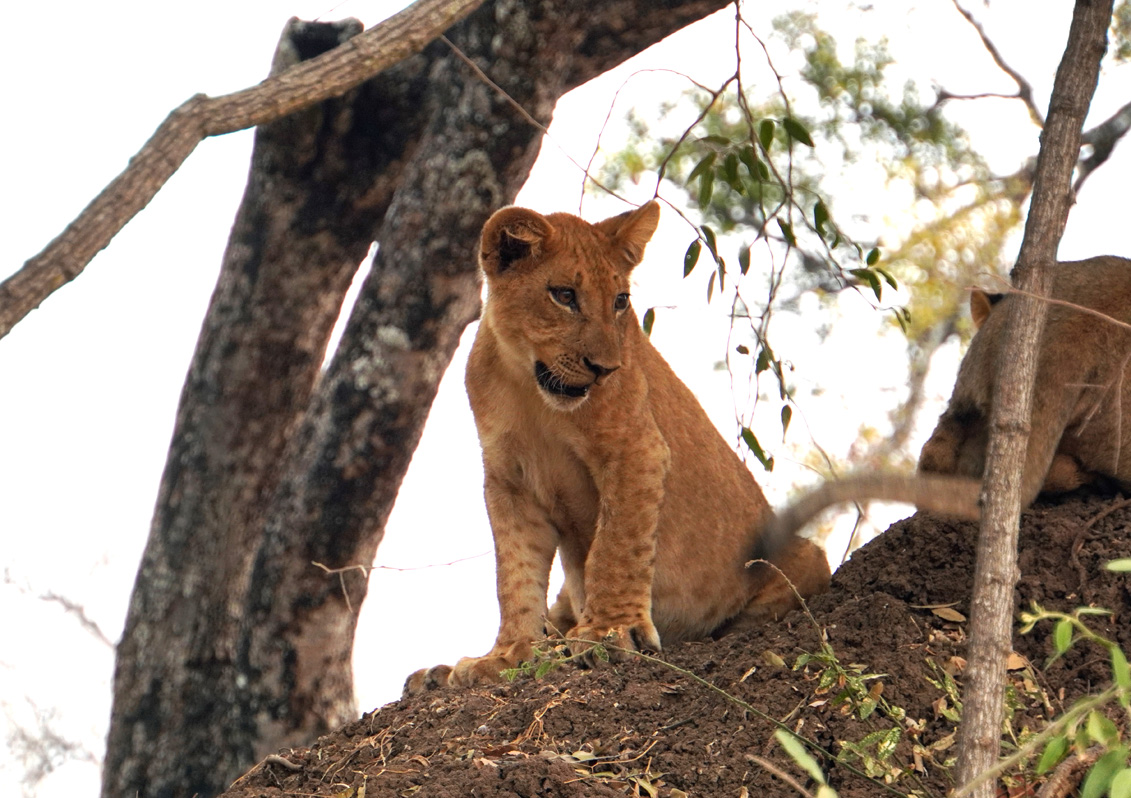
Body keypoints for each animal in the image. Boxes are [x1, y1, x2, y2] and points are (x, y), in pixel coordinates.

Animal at [404, 201, 831, 693]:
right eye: (564, 295)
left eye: (620, 301)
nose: (605, 369)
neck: (528, 387)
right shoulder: (508, 480)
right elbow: (515, 573)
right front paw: (507, 655)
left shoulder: (635, 448)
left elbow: (616, 545)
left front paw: (609, 632)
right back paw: (436, 673)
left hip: (796, 558)